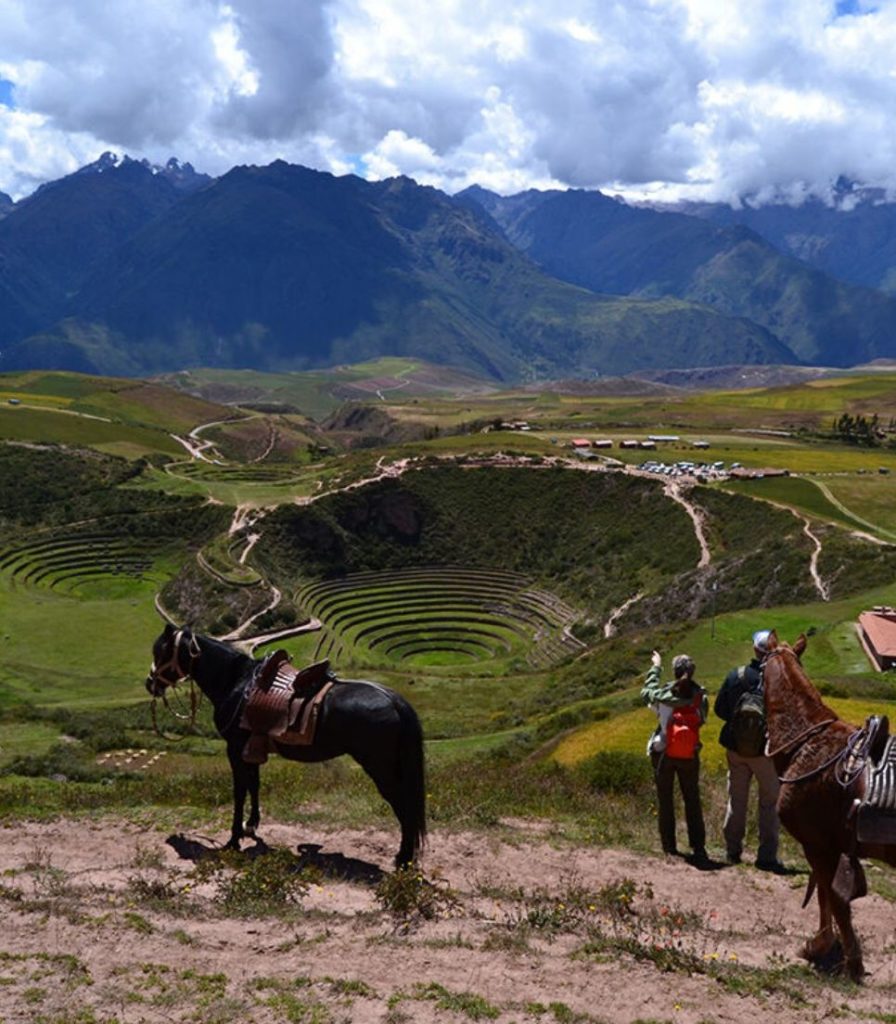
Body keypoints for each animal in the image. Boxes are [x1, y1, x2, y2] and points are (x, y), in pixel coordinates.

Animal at [147, 618, 428, 868]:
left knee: (404, 805)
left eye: (161, 651)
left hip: (381, 769)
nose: (150, 684)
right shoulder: (252, 747)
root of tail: (393, 700)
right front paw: (252, 826)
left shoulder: (235, 749)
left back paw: (403, 859)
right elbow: (254, 784)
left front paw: (234, 839)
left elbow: (239, 791)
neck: (237, 682)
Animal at [761, 626, 896, 978]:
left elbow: (832, 898)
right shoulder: (827, 847)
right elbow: (825, 895)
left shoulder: (818, 845)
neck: (807, 744)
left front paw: (834, 952)